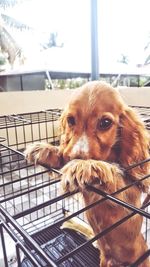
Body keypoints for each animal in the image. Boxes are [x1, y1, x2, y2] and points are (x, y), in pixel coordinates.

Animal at [25, 82, 149, 267]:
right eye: (70, 120)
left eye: (105, 123)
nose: (75, 157)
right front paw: (46, 150)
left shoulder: (127, 194)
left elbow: (115, 176)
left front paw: (87, 165)